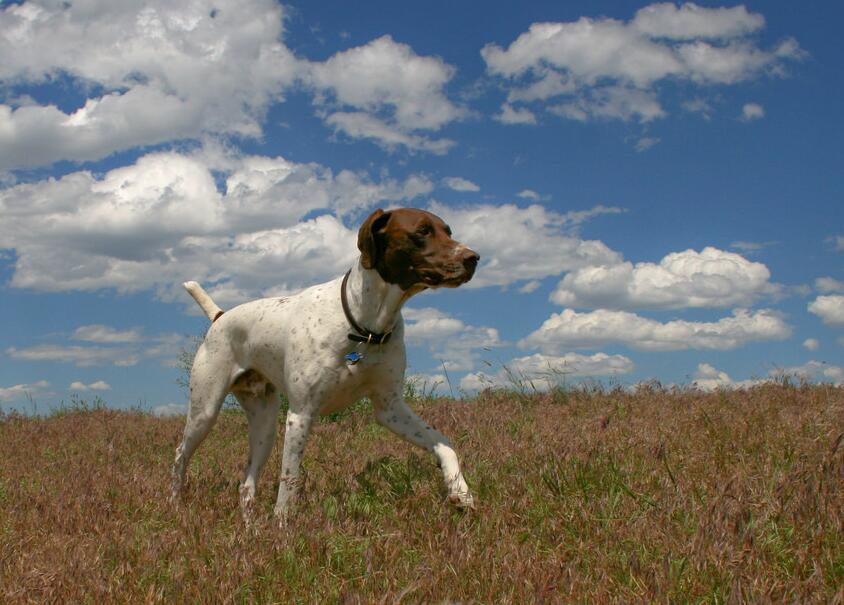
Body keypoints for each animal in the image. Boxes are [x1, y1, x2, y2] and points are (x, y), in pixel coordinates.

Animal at [171, 207, 480, 523]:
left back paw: (250, 527)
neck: (364, 325)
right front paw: (282, 526)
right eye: (422, 231)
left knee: (245, 485)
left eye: (448, 231)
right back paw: (176, 504)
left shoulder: (391, 408)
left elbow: (444, 444)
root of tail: (220, 316)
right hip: (205, 412)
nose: (473, 258)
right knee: (180, 455)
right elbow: (289, 481)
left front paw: (460, 491)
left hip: (265, 425)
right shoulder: (301, 414)